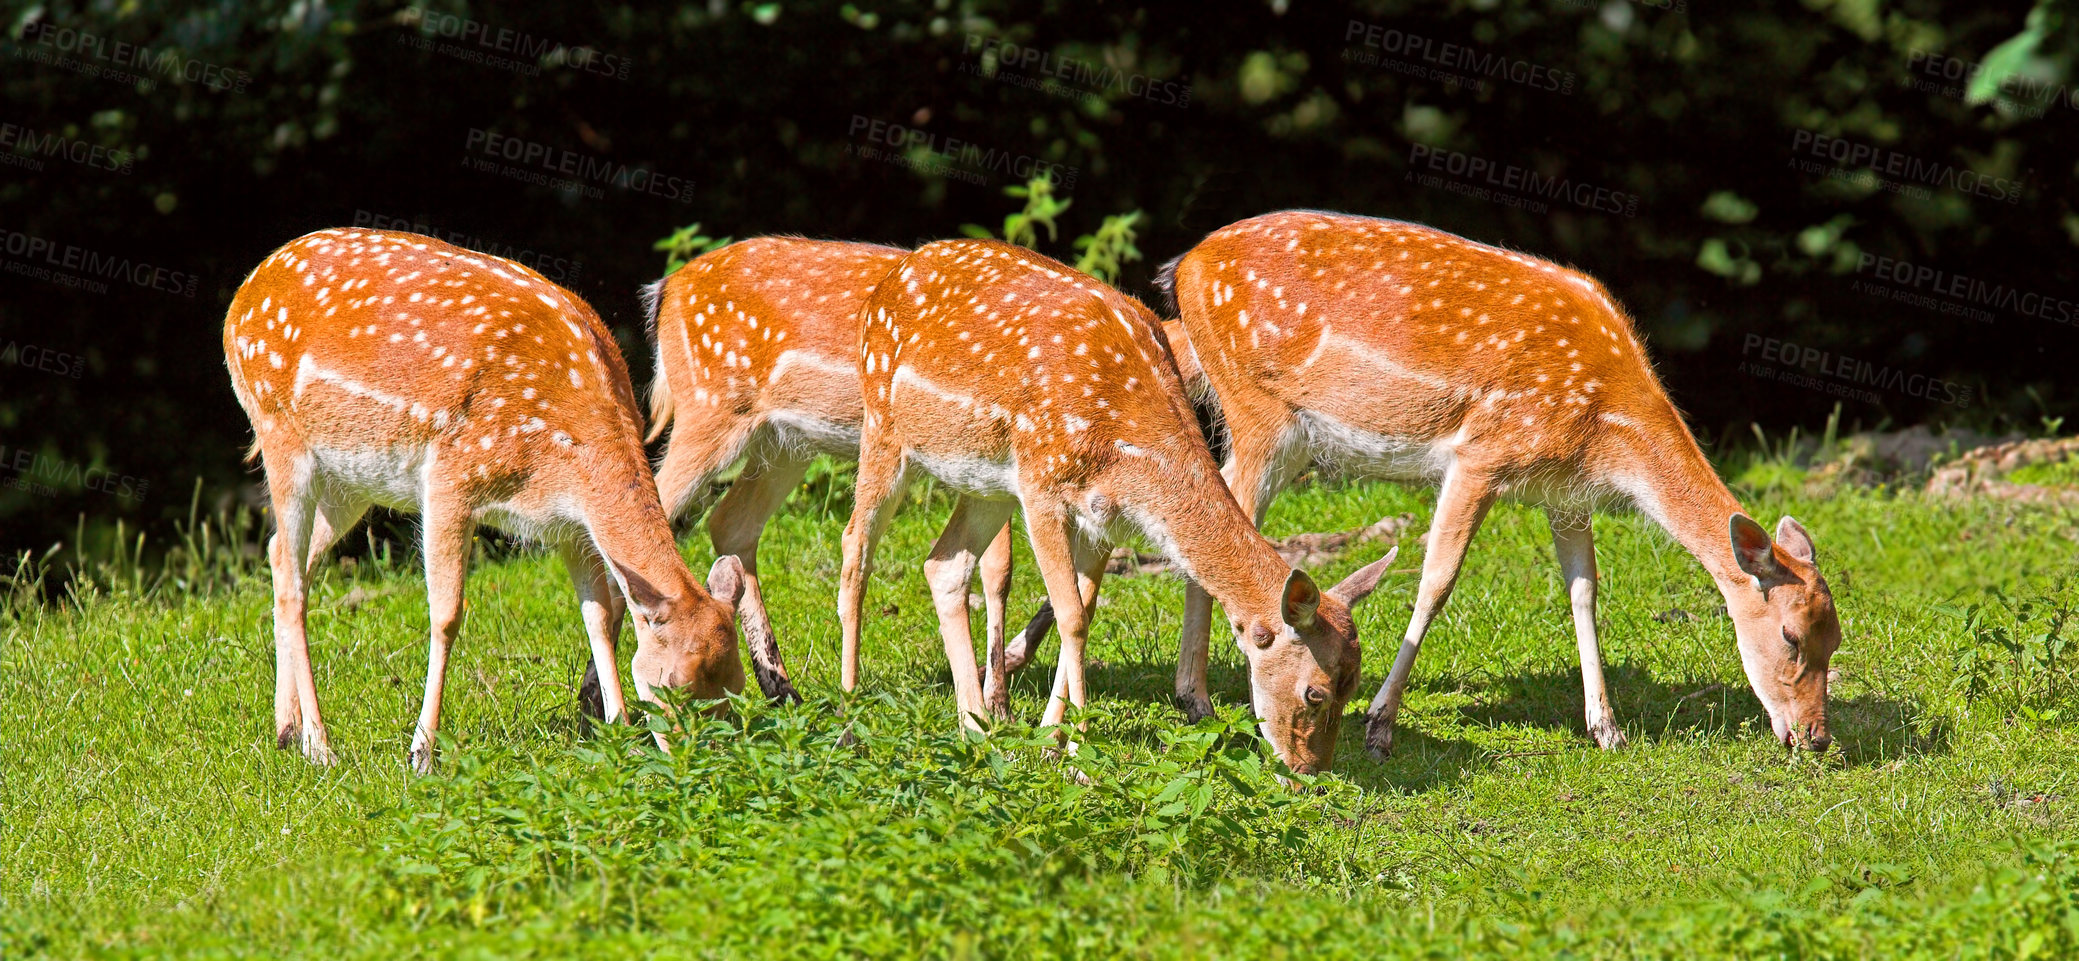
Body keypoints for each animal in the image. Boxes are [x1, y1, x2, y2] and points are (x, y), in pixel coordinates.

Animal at [225, 226, 748, 773]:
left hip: (350, 482)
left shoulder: (569, 524)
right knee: (292, 578)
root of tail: (245, 290)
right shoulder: (450, 477)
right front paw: (421, 754)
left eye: (736, 685)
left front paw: (618, 733)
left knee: (284, 555)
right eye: (675, 685)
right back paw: (321, 745)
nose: (706, 764)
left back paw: (287, 729)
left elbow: (600, 617)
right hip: (278, 432)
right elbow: (447, 615)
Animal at [636, 234, 1056, 711]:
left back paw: (783, 690)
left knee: (730, 522)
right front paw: (998, 697)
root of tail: (667, 288)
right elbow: (998, 569)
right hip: (709, 410)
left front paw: (1000, 694)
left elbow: (1001, 570)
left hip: (782, 442)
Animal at [831, 238, 1397, 773]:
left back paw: (975, 726)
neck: (1127, 453)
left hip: (984, 483)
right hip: (882, 425)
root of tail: (890, 279)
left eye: (1353, 686)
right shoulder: (1041, 485)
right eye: (1315, 692)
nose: (1309, 773)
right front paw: (1078, 756)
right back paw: (849, 711)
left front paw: (1050, 741)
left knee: (943, 564)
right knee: (856, 542)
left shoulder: (1103, 519)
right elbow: (1073, 618)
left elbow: (1084, 609)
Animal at [1164, 208, 1846, 757]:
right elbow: (1436, 581)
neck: (1607, 427)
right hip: (1259, 409)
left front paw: (1606, 729)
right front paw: (1379, 724)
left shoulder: (1564, 491)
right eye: (1790, 635)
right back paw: (1196, 698)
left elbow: (1584, 590)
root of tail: (1186, 265)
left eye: (1836, 640)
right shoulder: (1482, 454)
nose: (1816, 737)